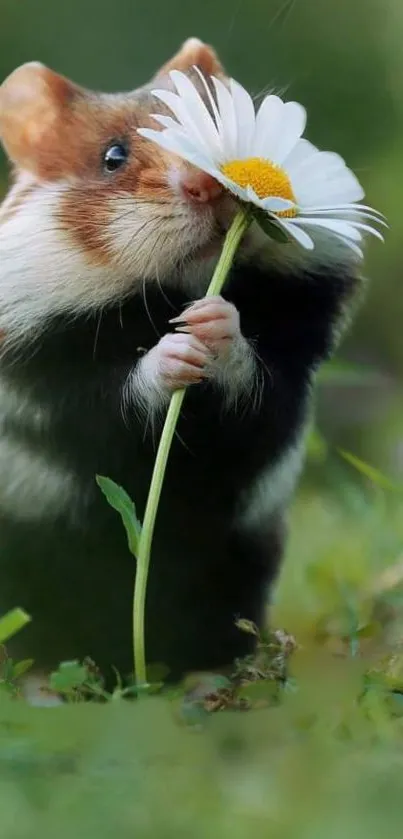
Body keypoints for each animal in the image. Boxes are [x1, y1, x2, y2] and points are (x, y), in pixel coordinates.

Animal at [0, 37, 362, 688]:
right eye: (112, 157)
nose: (206, 183)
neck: (171, 292)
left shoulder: (288, 377)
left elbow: (255, 381)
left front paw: (214, 324)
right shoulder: (53, 385)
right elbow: (114, 398)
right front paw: (176, 349)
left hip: (243, 560)